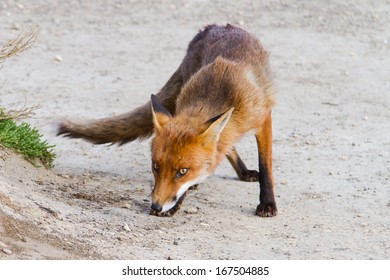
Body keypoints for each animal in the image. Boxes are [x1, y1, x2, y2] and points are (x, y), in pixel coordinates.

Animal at [58, 23, 278, 217]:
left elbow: (265, 165)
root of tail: (214, 26)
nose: (155, 206)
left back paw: (243, 172)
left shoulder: (263, 119)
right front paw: (175, 205)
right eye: (156, 166)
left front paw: (267, 204)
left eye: (182, 171)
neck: (221, 92)